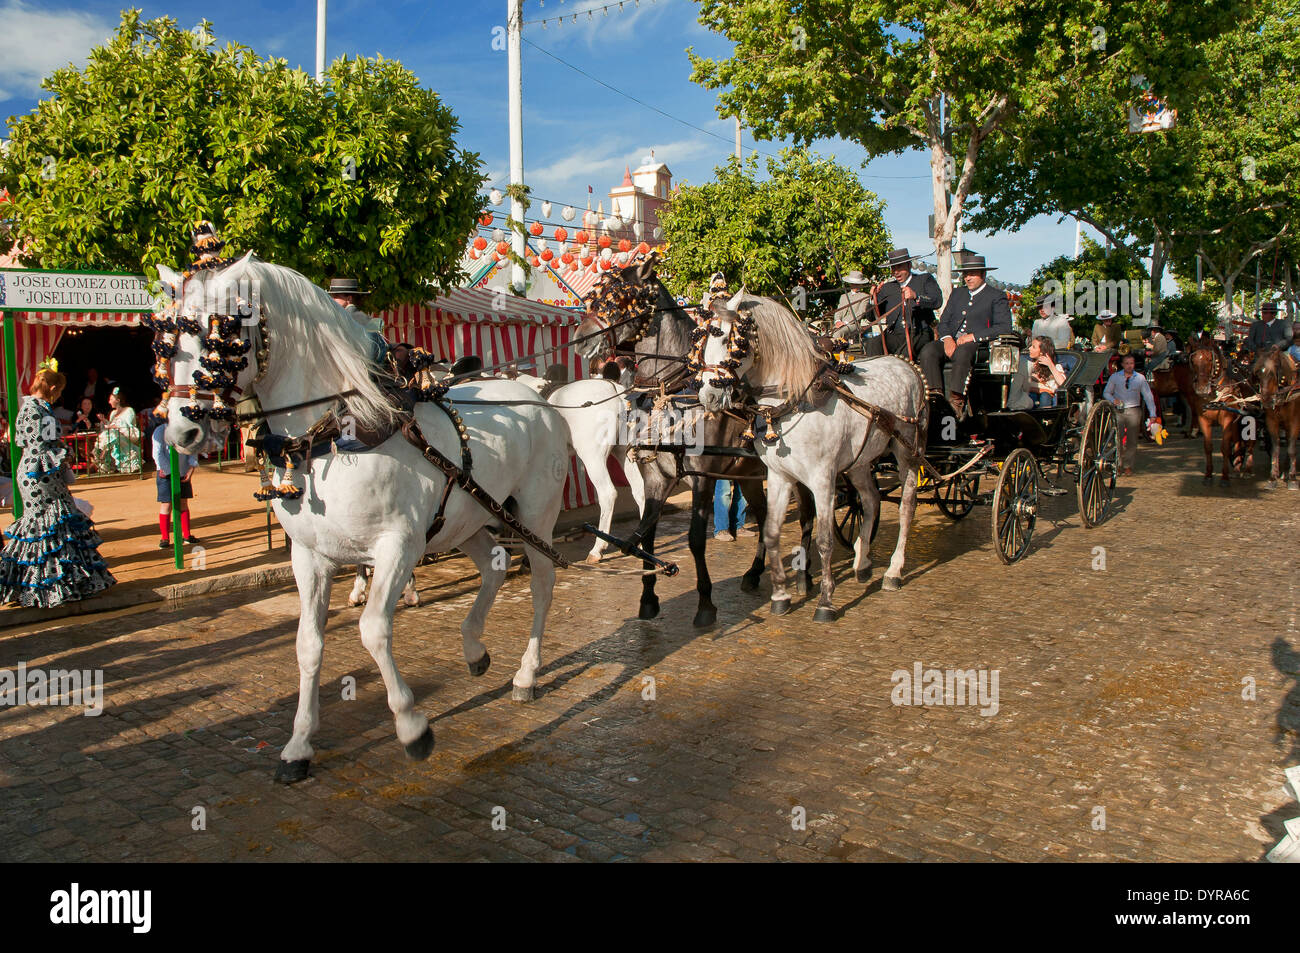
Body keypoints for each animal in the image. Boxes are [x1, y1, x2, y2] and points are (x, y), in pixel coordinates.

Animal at [159, 254, 572, 780]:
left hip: (534, 515)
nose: (182, 431)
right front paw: (298, 744)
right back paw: (473, 647)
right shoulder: (309, 556)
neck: (336, 436)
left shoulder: (398, 547)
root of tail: (536, 396)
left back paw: (526, 673)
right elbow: (308, 644)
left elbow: (373, 629)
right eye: (168, 339)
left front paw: (411, 725)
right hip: (467, 519)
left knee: (541, 584)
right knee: (494, 565)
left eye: (222, 336)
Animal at [696, 289, 930, 616]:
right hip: (859, 462)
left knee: (907, 506)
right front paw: (780, 596)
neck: (794, 401)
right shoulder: (779, 476)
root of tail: (906, 364)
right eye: (703, 339)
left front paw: (825, 601)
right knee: (870, 499)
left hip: (907, 450)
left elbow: (825, 540)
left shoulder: (822, 479)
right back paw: (862, 562)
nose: (708, 395)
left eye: (730, 340)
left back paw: (894, 571)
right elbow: (771, 532)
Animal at [1190, 343, 1258, 486]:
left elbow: (1225, 448)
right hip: (1237, 421)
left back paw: (1248, 470)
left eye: (1210, 359)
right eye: (1193, 360)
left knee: (1250, 445)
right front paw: (1208, 475)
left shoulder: (1227, 420)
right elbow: (1208, 447)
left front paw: (1224, 477)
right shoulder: (1203, 419)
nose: (1201, 388)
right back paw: (1237, 468)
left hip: (1253, 419)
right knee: (1238, 443)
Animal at [1248, 345, 1300, 486]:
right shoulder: (1271, 421)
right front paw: (1273, 476)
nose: (1266, 401)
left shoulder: (1294, 422)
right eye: (1258, 374)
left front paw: (1292, 478)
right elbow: (1275, 448)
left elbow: (1292, 448)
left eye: (1272, 373)